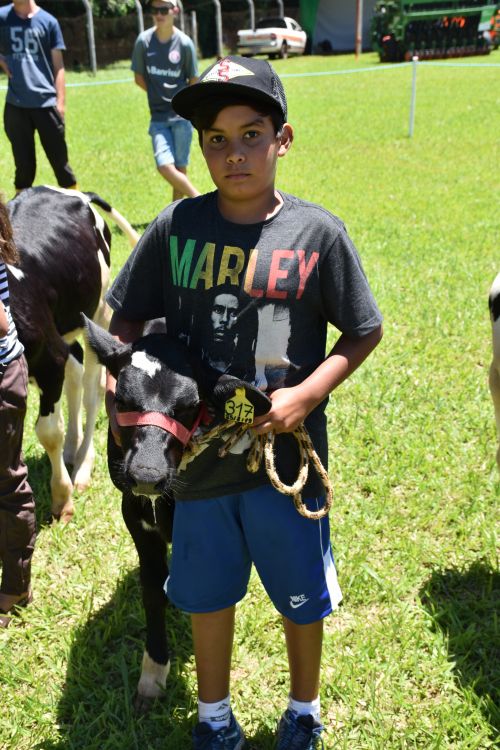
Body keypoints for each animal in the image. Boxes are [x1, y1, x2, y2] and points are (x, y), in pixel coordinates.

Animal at [7, 186, 139, 523]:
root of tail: (76, 194)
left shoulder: (49, 358)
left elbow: (49, 431)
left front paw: (62, 498)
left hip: (99, 314)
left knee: (93, 390)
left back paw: (82, 466)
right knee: (76, 374)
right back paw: (72, 448)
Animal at [83, 315, 271, 712]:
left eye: (189, 406)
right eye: (121, 399)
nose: (147, 475)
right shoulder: (135, 514)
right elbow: (152, 588)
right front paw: (153, 673)